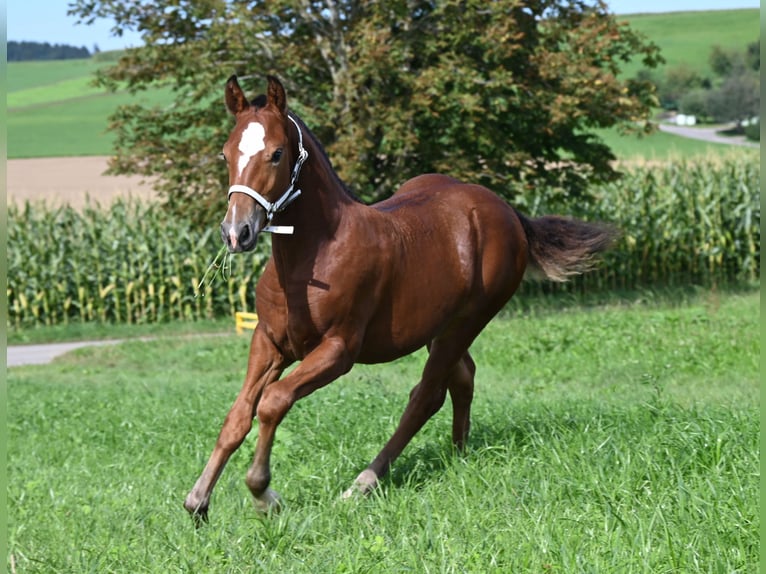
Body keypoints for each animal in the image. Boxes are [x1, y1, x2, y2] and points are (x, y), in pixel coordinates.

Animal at [186, 73, 616, 520]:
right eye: (225, 154)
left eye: (276, 153)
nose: (236, 232)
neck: (310, 259)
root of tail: (507, 212)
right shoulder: (268, 341)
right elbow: (237, 415)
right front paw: (198, 500)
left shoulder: (339, 350)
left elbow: (272, 401)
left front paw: (263, 493)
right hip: (437, 328)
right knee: (462, 377)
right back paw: (458, 454)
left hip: (468, 321)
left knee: (427, 394)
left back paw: (363, 483)